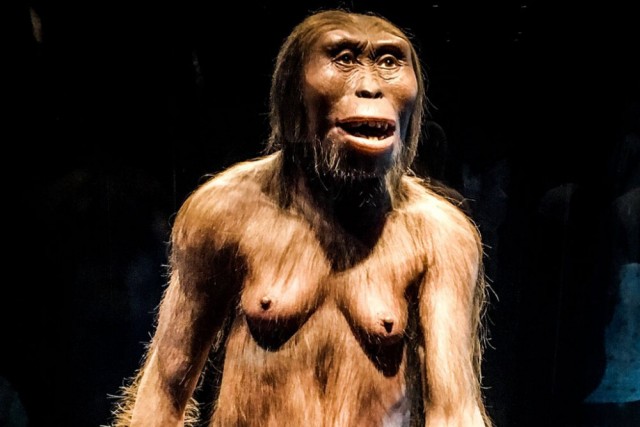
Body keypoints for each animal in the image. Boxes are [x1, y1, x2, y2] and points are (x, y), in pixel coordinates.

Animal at [110, 9, 491, 427]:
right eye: (346, 59)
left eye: (388, 63)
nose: (371, 92)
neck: (334, 197)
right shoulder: (205, 219)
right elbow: (167, 388)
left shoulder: (455, 243)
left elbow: (452, 404)